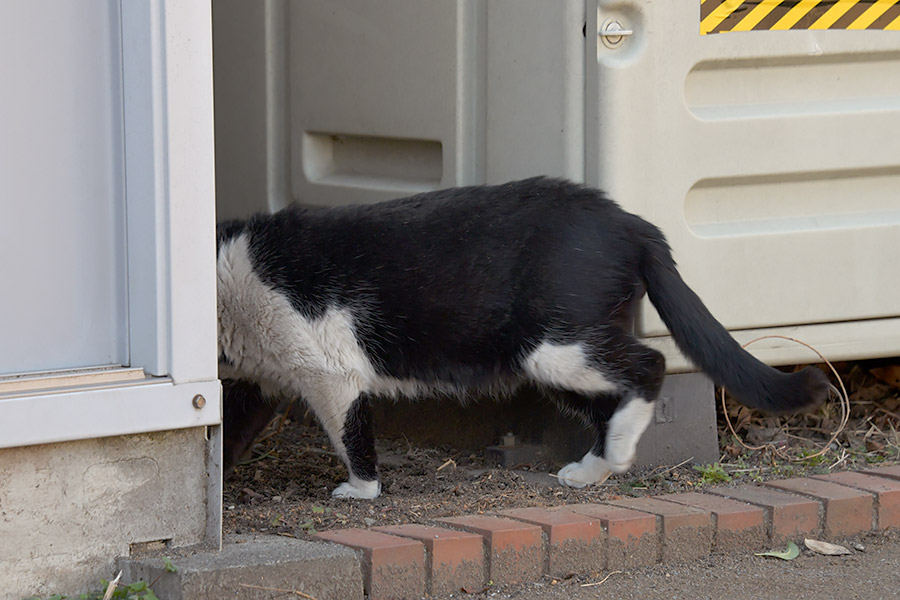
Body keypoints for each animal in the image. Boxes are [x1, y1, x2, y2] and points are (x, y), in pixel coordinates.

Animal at [218, 176, 828, 500]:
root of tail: (633, 223)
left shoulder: (330, 371)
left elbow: (350, 433)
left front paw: (362, 490)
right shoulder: (255, 380)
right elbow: (228, 436)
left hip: (554, 345)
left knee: (650, 363)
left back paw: (618, 453)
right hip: (549, 359)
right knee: (610, 400)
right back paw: (595, 468)